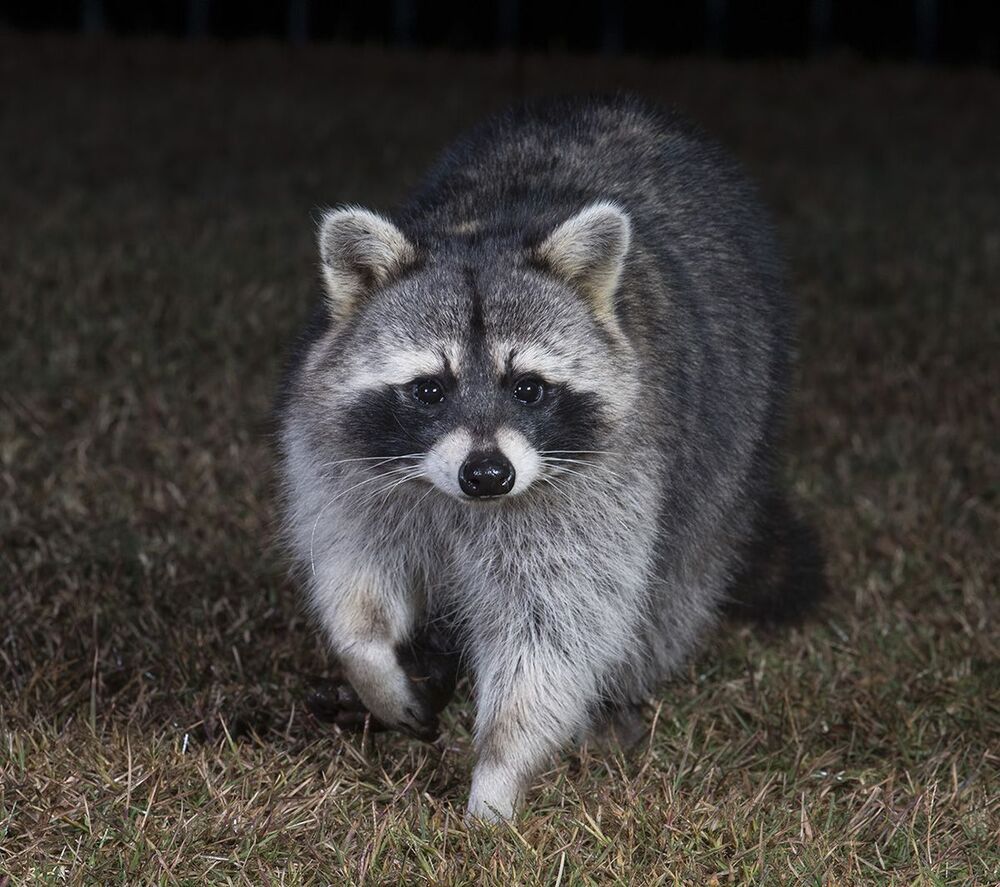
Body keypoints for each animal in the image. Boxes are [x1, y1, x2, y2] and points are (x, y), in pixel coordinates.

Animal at [276, 96, 824, 820]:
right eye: (430, 389)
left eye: (528, 388)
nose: (488, 475)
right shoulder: (342, 457)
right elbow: (354, 573)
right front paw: (373, 669)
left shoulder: (602, 480)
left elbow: (554, 626)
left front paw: (497, 776)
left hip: (734, 434)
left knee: (674, 584)